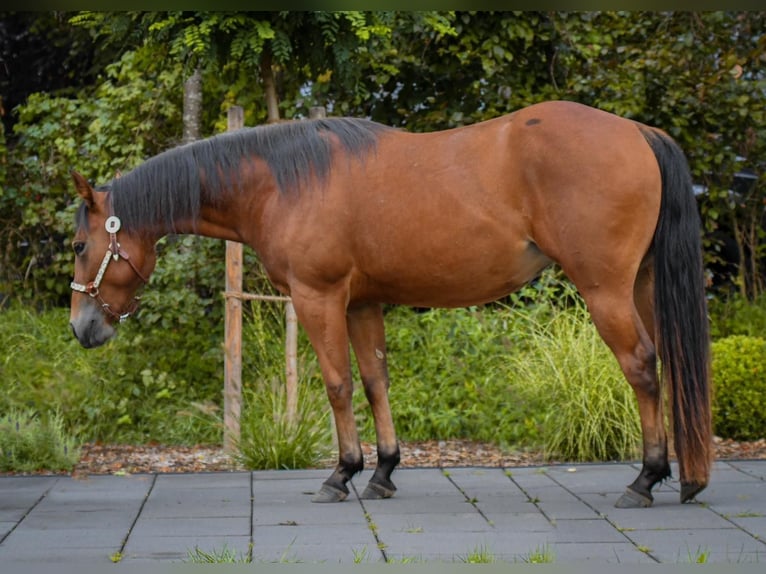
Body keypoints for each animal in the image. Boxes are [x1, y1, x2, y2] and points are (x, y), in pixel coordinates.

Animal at [68, 100, 712, 508]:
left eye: (78, 245)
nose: (82, 327)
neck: (282, 180)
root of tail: (637, 132)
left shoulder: (320, 297)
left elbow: (337, 384)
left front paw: (340, 473)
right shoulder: (363, 304)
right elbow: (376, 380)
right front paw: (382, 471)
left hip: (605, 290)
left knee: (643, 367)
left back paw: (646, 480)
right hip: (642, 286)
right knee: (675, 364)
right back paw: (686, 479)